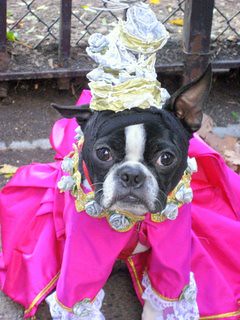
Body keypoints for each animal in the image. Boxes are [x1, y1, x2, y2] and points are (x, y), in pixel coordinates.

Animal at [53, 65, 212, 320]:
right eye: (103, 153)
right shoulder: (82, 259)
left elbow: (160, 295)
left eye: (166, 158)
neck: (134, 219)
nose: (131, 174)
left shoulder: (171, 253)